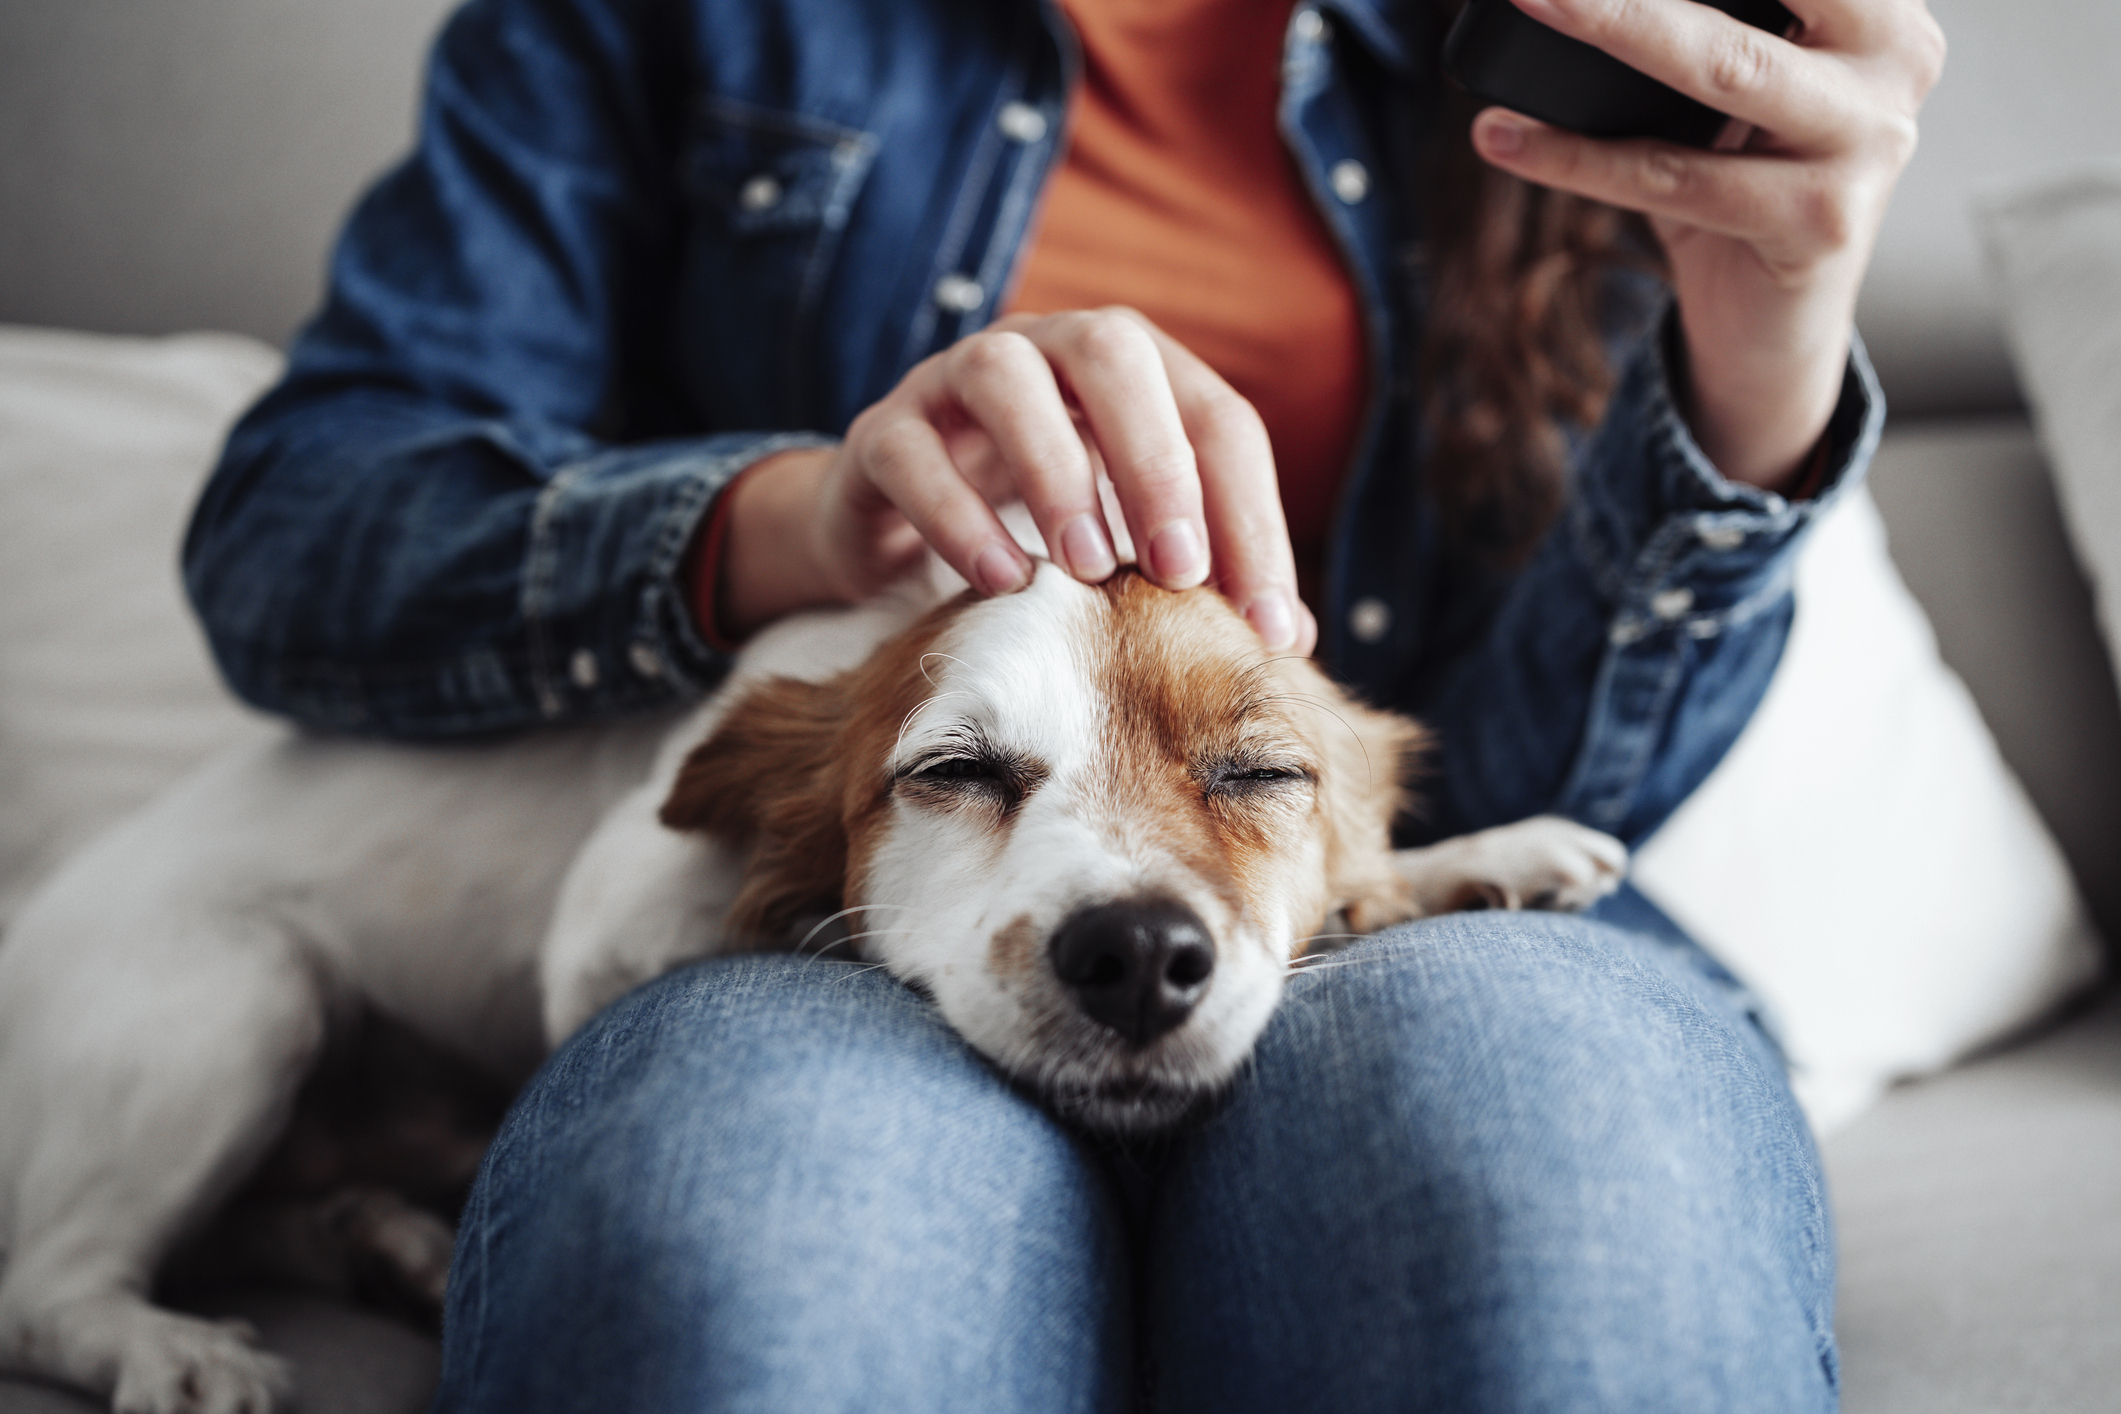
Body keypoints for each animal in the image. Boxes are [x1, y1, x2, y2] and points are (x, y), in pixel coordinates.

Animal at [0, 559, 1620, 1407]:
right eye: (954, 771)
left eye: (1261, 774)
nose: (1140, 955)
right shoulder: (598, 928)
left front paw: (1479, 855)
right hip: (233, 998)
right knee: (44, 1286)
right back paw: (171, 1346)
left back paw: (378, 1239)